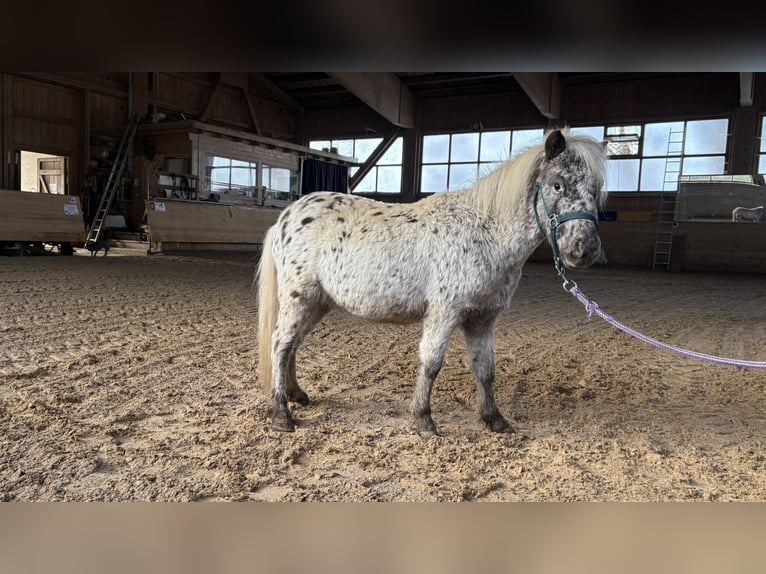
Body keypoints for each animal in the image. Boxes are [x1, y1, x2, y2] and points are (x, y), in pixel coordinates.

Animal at [258, 130, 612, 436]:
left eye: (596, 190)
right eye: (558, 185)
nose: (584, 250)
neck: (484, 234)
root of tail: (287, 216)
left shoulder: (483, 319)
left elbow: (485, 369)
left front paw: (494, 419)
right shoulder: (444, 312)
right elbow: (431, 363)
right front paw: (424, 420)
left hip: (318, 303)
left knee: (292, 346)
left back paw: (296, 395)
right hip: (298, 298)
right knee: (280, 345)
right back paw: (281, 414)